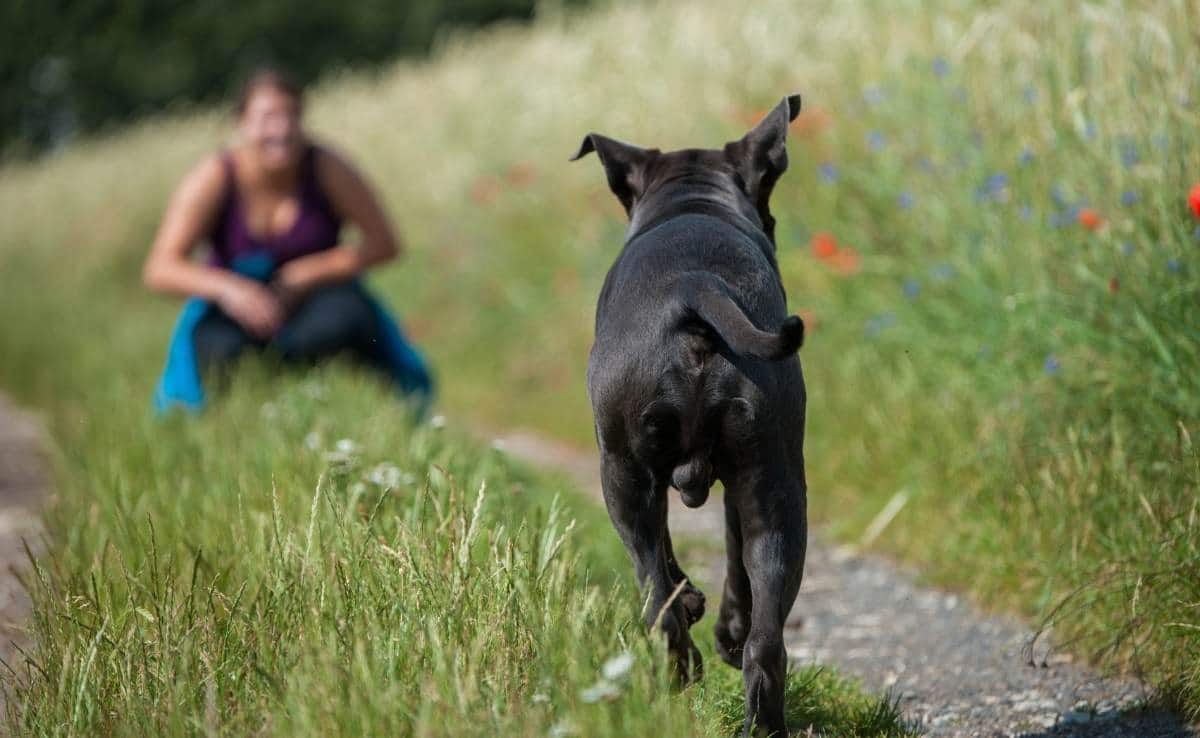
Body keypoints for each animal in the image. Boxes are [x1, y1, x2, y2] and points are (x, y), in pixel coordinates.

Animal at [571, 95, 806, 734]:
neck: (693, 200)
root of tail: (694, 286)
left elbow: (665, 558)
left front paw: (697, 602)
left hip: (620, 472)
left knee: (655, 590)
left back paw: (682, 670)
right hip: (775, 483)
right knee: (765, 636)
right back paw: (760, 713)